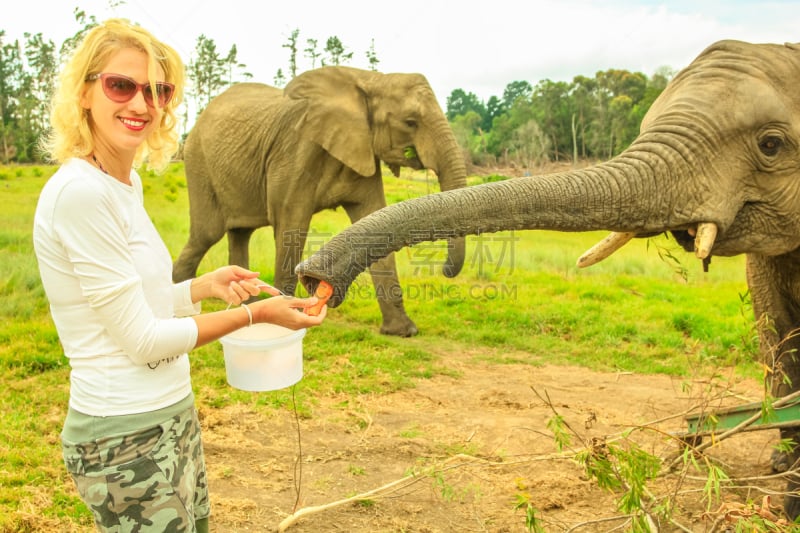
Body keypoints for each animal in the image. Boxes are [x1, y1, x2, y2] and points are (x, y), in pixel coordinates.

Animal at [172, 65, 466, 336]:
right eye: (410, 122)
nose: (444, 270)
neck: (370, 79)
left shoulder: (362, 152)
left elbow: (374, 219)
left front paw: (403, 332)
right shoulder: (297, 150)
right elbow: (291, 224)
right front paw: (286, 323)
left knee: (239, 233)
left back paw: (248, 305)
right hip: (198, 163)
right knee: (206, 234)